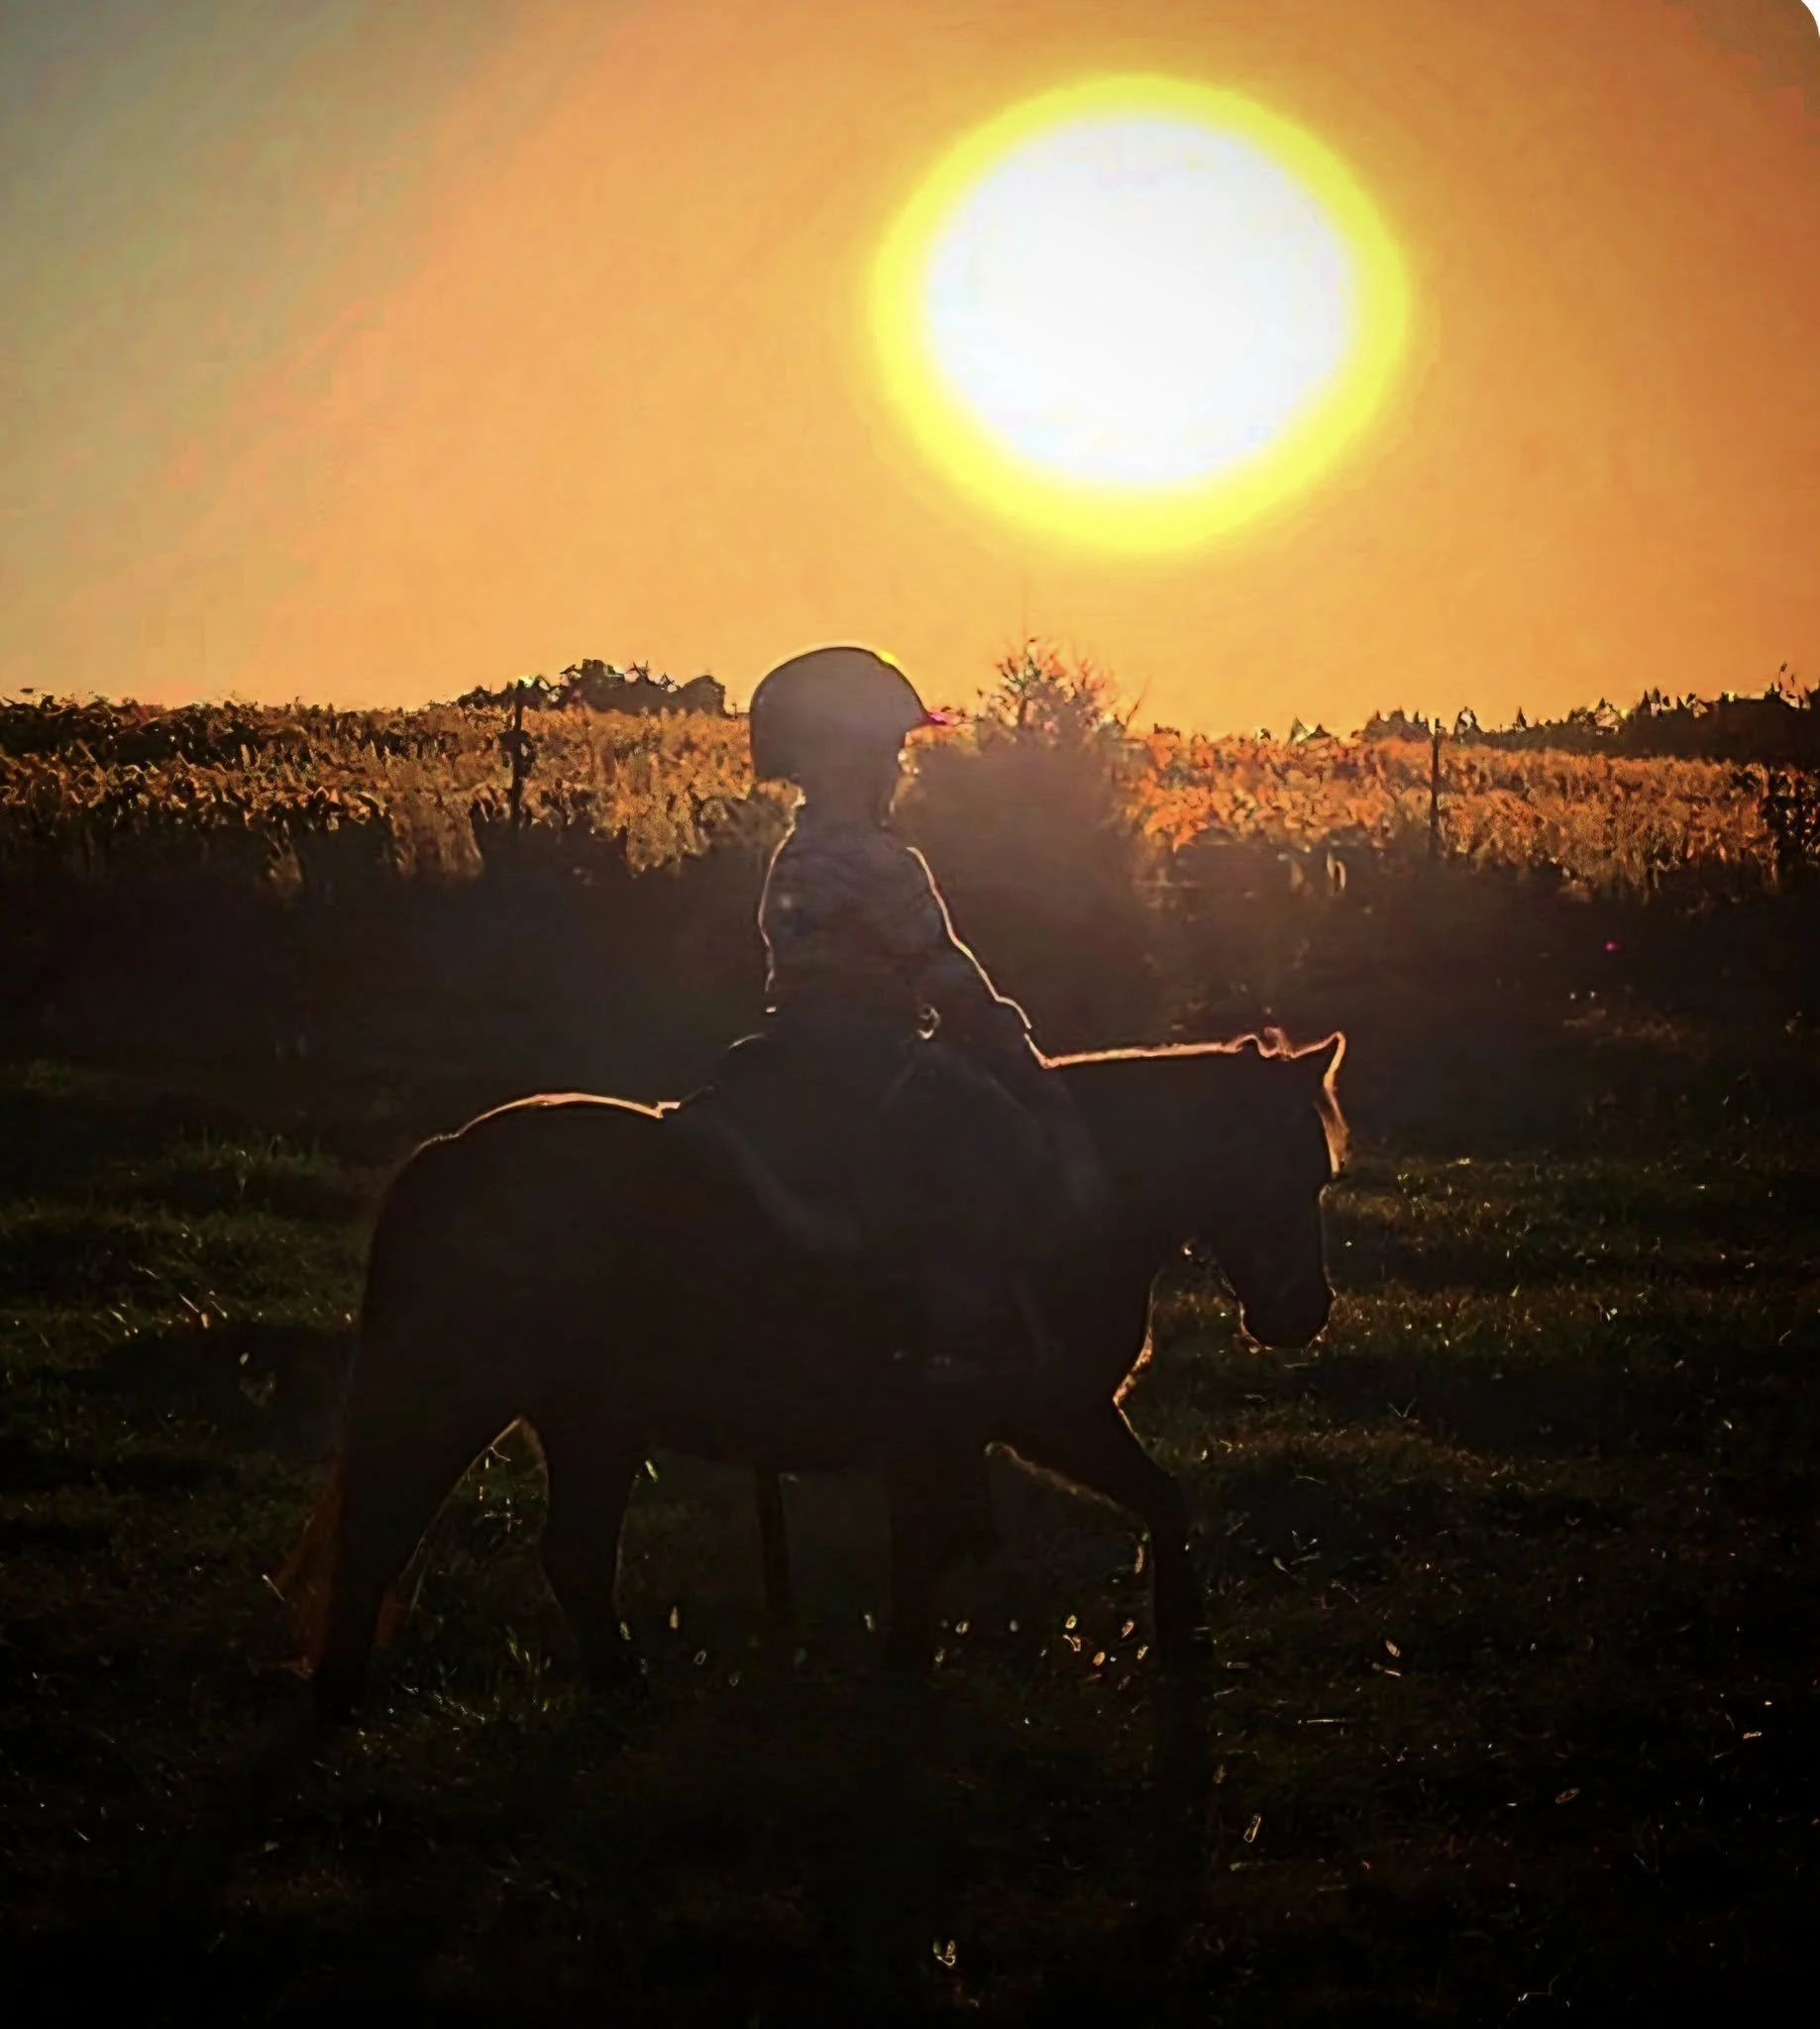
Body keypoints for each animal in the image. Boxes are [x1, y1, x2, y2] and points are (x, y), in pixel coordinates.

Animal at [282, 1033, 1346, 1717]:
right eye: (1298, 1169)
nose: (1302, 1312)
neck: (1069, 1189)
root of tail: (453, 1152)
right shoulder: (1041, 1415)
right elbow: (1120, 1507)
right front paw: (1180, 1636)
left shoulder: (990, 1430)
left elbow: (1015, 1529)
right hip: (475, 1402)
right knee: (401, 1534)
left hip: (587, 1424)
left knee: (542, 1551)